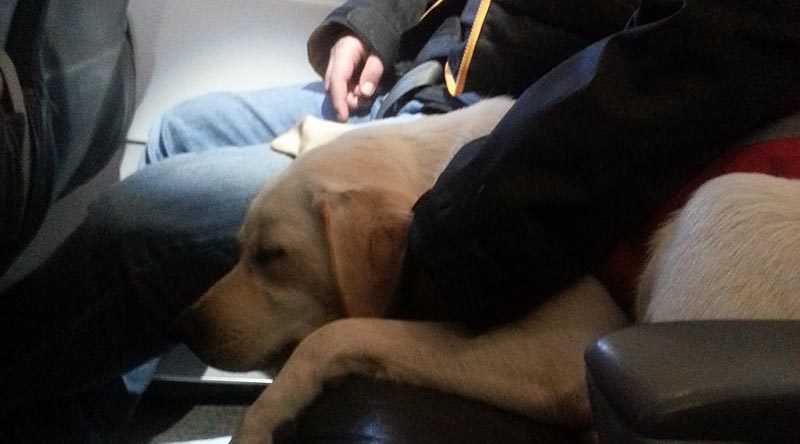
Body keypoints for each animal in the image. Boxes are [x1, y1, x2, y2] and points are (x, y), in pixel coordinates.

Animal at [175, 98, 800, 444]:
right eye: (238, 250)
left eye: (274, 257)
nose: (184, 327)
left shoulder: (566, 349)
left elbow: (335, 335)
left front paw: (261, 419)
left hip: (720, 202)